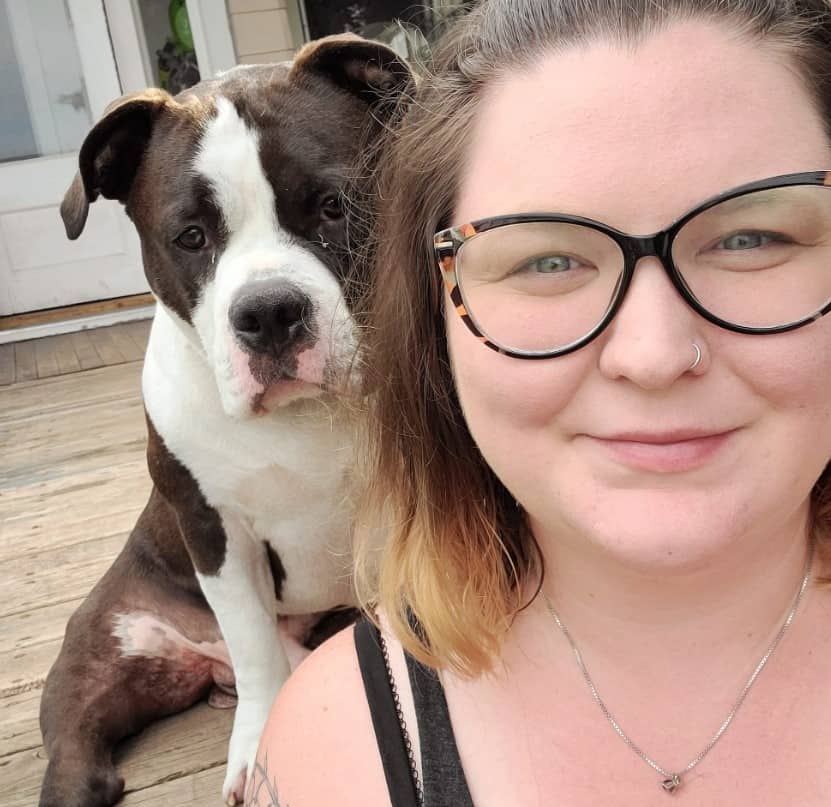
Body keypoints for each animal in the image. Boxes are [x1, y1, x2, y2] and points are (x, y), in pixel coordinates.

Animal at [40, 33, 412, 807]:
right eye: (190, 236)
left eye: (333, 206)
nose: (269, 312)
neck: (306, 417)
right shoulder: (215, 531)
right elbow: (253, 643)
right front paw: (258, 737)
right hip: (95, 658)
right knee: (81, 751)